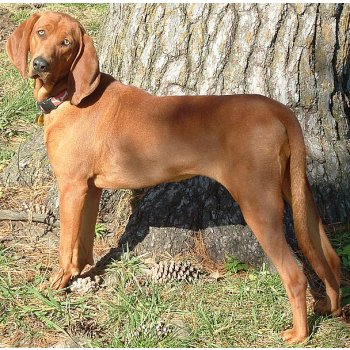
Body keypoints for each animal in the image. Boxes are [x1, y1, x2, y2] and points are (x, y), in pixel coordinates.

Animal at [5, 11, 340, 344]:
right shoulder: (91, 188)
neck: (68, 96)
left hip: (259, 205)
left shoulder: (71, 187)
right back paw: (330, 306)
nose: (40, 65)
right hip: (298, 194)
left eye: (67, 43)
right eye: (41, 32)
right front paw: (82, 274)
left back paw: (299, 333)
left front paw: (56, 284)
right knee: (329, 257)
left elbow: (66, 246)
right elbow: (84, 243)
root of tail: (278, 109)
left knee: (296, 276)